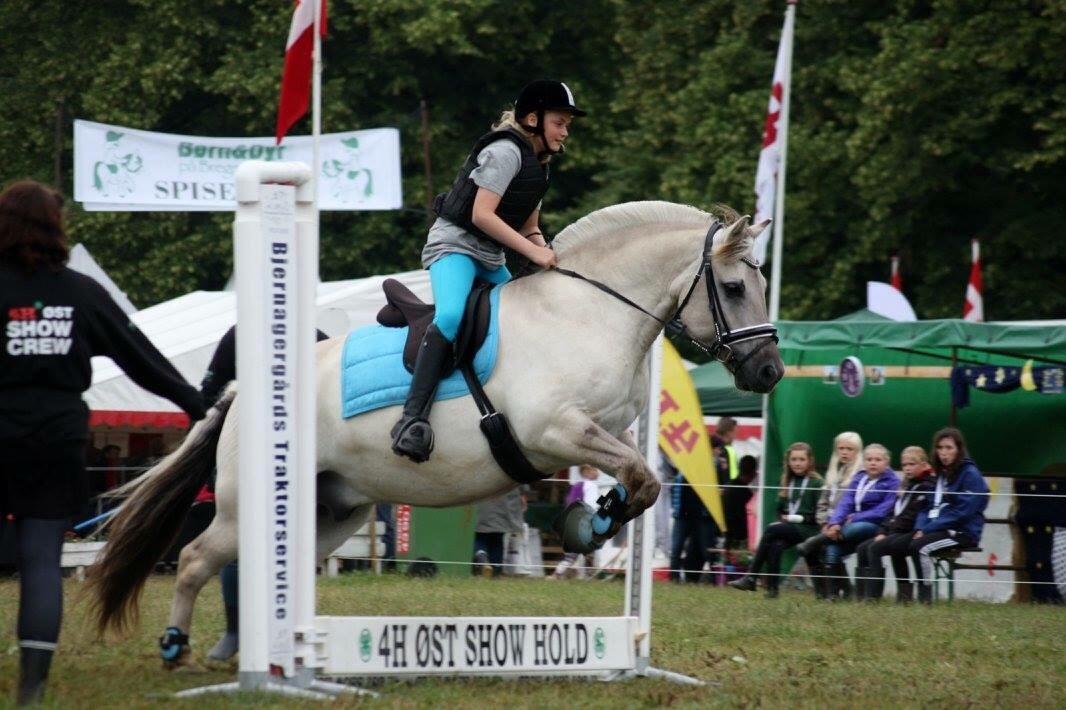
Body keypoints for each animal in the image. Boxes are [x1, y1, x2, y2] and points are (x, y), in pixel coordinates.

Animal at [89, 200, 784, 665]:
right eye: (731, 287)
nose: (770, 372)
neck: (591, 312)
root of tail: (239, 398)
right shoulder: (555, 432)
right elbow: (636, 479)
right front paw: (587, 528)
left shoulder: (604, 431)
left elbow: (639, 482)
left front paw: (592, 522)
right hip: (244, 508)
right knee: (193, 560)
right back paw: (178, 647)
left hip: (331, 511)